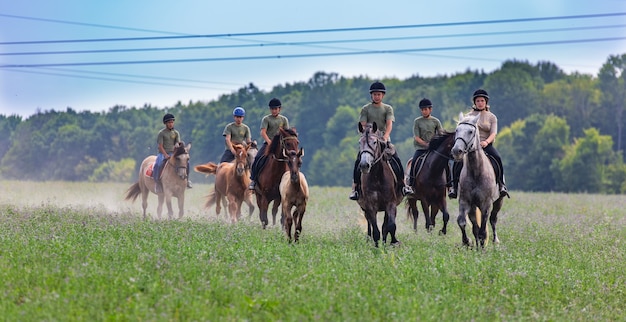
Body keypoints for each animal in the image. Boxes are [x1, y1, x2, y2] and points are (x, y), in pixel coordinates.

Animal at [448, 113, 502, 249]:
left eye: (471, 131)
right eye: (457, 130)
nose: (456, 151)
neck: (476, 171)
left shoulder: (486, 204)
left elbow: (483, 229)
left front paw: (482, 248)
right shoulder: (465, 202)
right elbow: (462, 222)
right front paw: (468, 242)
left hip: (499, 201)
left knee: (493, 220)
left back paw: (495, 241)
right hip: (473, 207)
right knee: (475, 227)